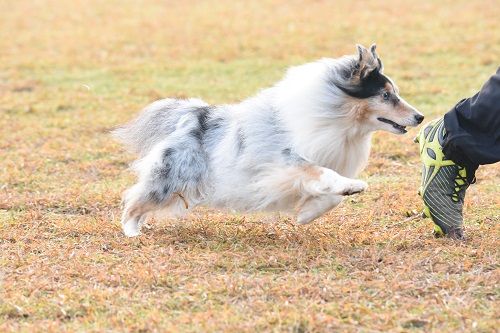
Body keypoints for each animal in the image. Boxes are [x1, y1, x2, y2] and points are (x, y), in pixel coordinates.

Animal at [112, 44, 422, 236]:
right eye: (386, 95)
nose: (419, 117)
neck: (337, 116)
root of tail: (194, 116)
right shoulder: (285, 161)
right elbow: (323, 173)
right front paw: (353, 186)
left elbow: (329, 195)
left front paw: (307, 214)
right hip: (174, 178)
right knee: (136, 200)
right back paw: (132, 232)